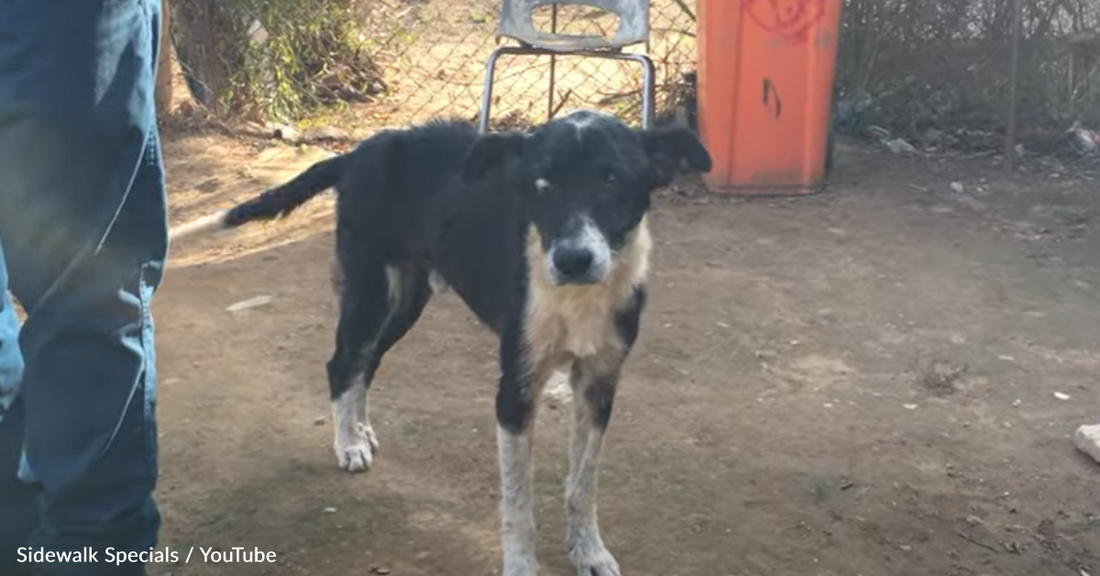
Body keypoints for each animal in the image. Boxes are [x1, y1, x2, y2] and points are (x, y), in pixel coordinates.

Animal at [167, 110, 708, 571]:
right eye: (541, 184)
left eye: (613, 179)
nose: (572, 259)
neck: (576, 299)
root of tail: (358, 153)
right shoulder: (514, 390)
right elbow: (518, 504)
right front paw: (521, 566)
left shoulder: (599, 384)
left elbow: (583, 483)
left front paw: (590, 553)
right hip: (369, 292)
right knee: (341, 363)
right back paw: (348, 443)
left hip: (406, 301)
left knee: (365, 363)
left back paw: (360, 430)